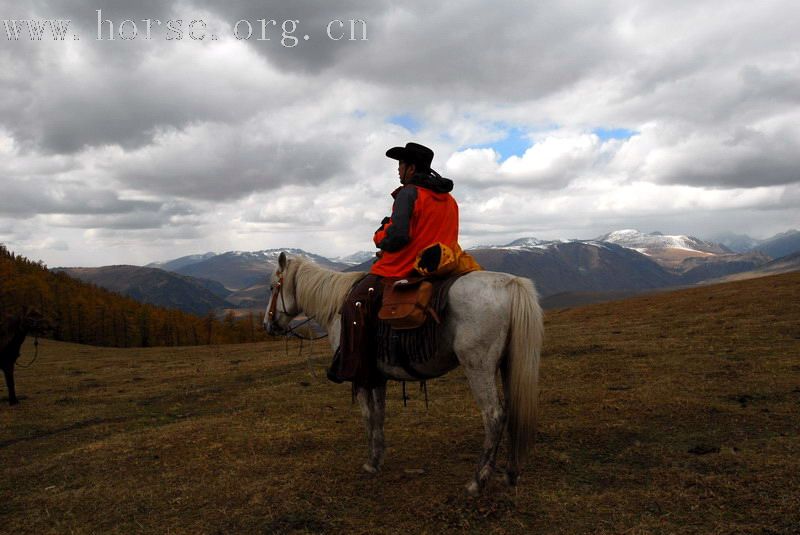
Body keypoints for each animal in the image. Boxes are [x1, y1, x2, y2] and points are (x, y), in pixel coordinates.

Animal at [264, 253, 544, 496]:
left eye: (271, 287)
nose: (267, 325)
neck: (337, 307)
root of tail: (510, 284)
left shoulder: (360, 375)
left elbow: (367, 416)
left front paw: (371, 461)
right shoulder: (377, 377)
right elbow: (379, 414)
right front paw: (379, 457)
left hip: (479, 367)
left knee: (494, 415)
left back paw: (478, 480)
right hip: (507, 365)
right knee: (512, 409)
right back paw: (511, 473)